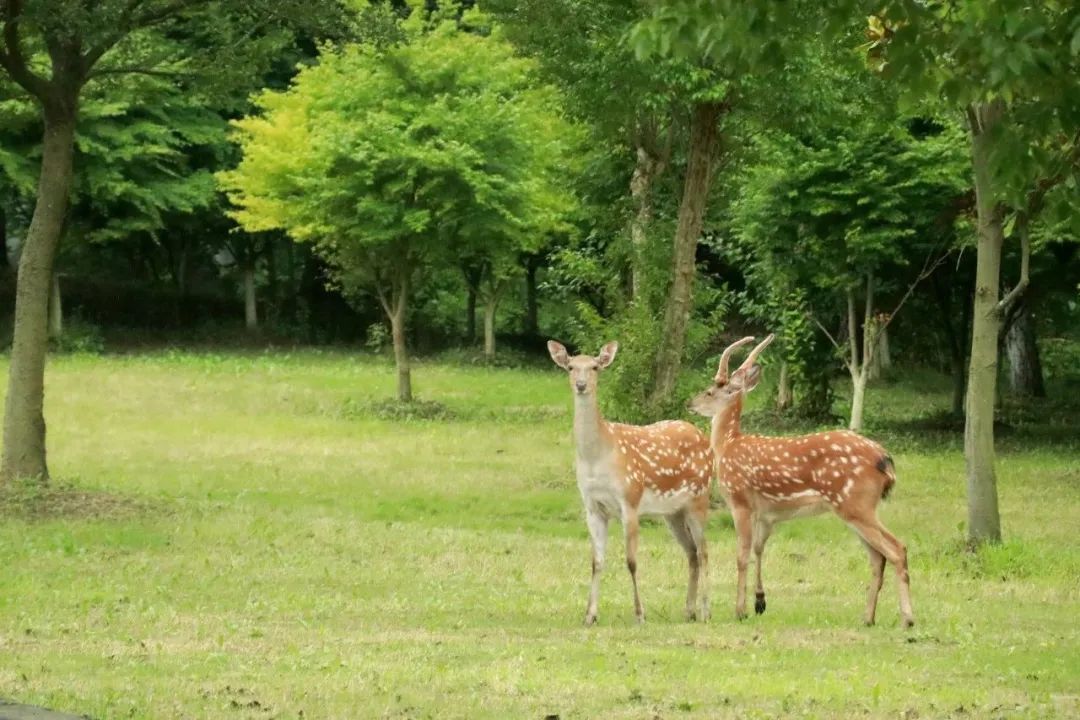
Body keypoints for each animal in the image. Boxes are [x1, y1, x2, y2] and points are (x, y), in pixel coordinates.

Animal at [548, 338, 717, 626]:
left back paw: (705, 611)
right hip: (673, 512)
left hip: (699, 497)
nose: (581, 384)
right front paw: (589, 615)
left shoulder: (630, 499)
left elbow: (631, 561)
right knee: (692, 553)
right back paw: (689, 611)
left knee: (704, 551)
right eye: (570, 366)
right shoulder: (593, 507)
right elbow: (596, 561)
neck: (597, 457)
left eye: (595, 367)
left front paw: (639, 614)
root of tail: (706, 440)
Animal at [686, 334, 915, 626]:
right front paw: (759, 602)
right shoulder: (766, 514)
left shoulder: (740, 501)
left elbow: (742, 555)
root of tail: (885, 459)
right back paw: (868, 618)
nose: (690, 403)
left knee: (896, 549)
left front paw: (740, 610)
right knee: (878, 557)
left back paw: (907, 619)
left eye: (710, 391)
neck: (728, 446)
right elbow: (759, 549)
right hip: (856, 507)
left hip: (855, 503)